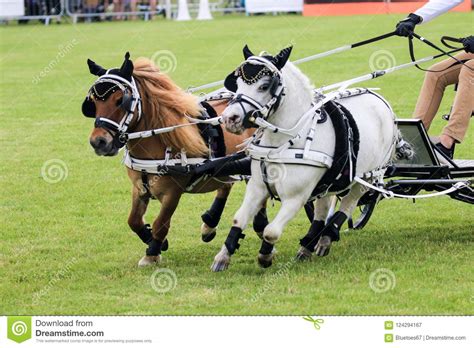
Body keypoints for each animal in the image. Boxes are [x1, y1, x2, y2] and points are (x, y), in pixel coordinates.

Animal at [85, 53, 262, 266]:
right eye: (93, 102)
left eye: (121, 100)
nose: (98, 141)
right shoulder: (139, 188)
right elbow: (133, 220)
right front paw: (156, 241)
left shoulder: (173, 193)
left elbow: (161, 222)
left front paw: (152, 253)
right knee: (226, 186)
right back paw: (210, 223)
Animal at [210, 44, 404, 272]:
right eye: (238, 83)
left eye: (264, 86)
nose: (230, 118)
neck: (285, 141)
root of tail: (380, 100)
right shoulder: (257, 188)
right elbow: (238, 220)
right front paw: (223, 257)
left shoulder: (296, 197)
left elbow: (271, 231)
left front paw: (266, 255)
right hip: (329, 180)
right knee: (323, 209)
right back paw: (310, 244)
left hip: (367, 178)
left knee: (347, 206)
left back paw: (325, 238)